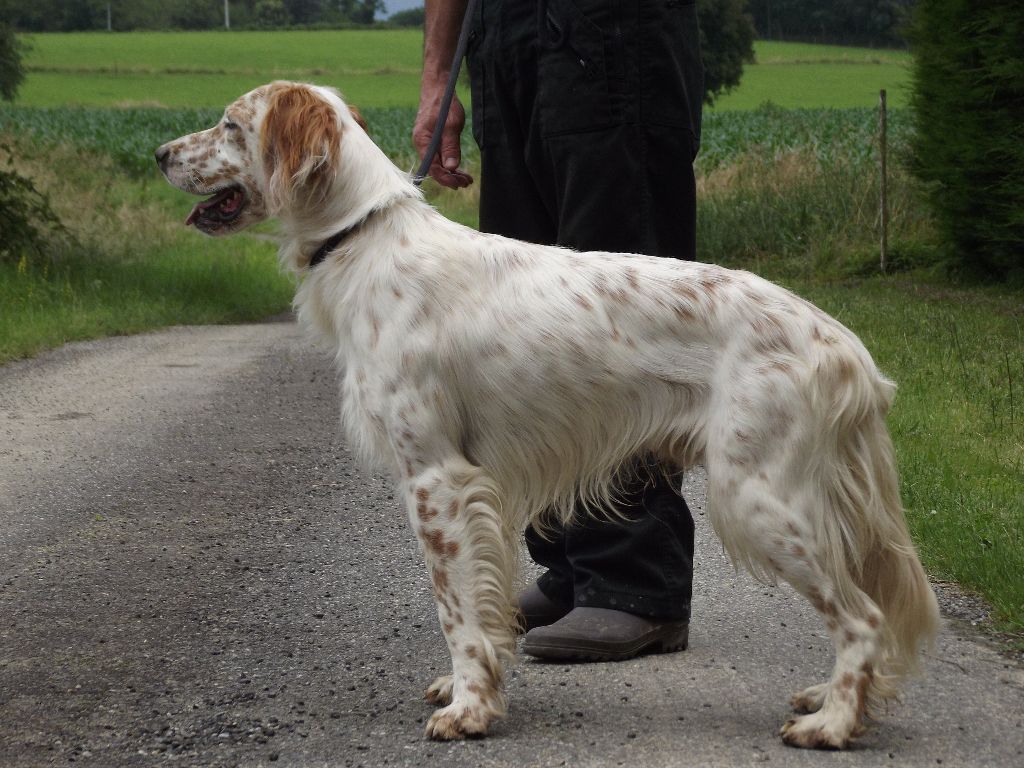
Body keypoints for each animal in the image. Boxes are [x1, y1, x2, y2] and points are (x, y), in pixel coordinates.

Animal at [155, 83, 937, 753]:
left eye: (230, 125)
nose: (159, 154)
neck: (365, 238)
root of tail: (845, 348)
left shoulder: (436, 478)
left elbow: (454, 610)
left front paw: (469, 708)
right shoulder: (473, 489)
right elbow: (481, 604)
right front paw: (468, 687)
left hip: (756, 495)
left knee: (863, 618)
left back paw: (832, 724)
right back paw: (827, 699)